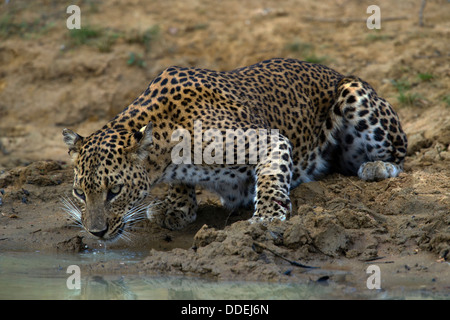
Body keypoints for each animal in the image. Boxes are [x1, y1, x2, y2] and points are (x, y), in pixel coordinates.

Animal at [62, 58, 408, 241]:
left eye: (115, 191)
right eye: (80, 192)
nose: (95, 233)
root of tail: (333, 72)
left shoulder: (269, 139)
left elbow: (272, 177)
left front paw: (267, 217)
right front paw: (176, 207)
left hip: (354, 92)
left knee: (400, 153)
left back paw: (377, 167)